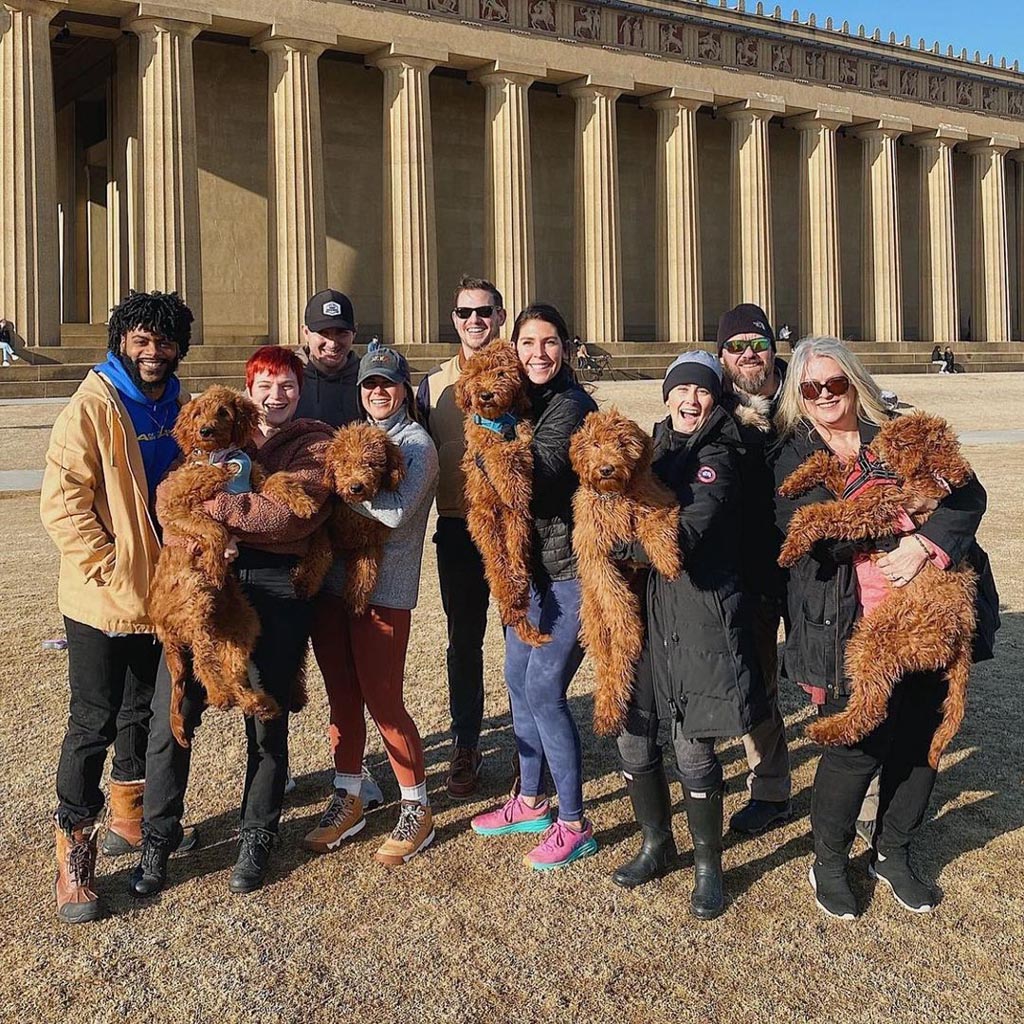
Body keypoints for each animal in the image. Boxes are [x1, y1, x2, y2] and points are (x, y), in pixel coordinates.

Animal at [150, 385, 315, 745]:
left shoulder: (254, 477)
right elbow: (215, 528)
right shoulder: (177, 505)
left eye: (224, 412)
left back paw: (257, 703)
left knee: (233, 671)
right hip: (195, 600)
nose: (205, 431)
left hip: (242, 626)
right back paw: (221, 695)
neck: (221, 455)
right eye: (198, 413)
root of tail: (164, 626)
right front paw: (214, 562)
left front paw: (303, 502)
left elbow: (277, 480)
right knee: (202, 661)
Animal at [292, 419, 403, 610]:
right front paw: (304, 582)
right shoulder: (324, 527)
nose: (356, 487)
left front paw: (356, 599)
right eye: (344, 461)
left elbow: (366, 569)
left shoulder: (370, 540)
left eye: (372, 463)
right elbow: (321, 553)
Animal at [458, 344, 552, 647]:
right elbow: (499, 454)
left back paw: (520, 584)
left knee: (515, 555)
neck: (499, 418)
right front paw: (513, 486)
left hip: (517, 525)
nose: (486, 394)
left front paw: (517, 485)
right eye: (477, 376)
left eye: (501, 373)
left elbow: (520, 448)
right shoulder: (483, 443)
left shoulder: (522, 429)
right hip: (485, 527)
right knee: (498, 570)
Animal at [569, 407, 679, 737]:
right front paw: (626, 622)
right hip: (595, 623)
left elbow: (656, 523)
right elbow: (613, 592)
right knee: (609, 666)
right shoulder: (594, 553)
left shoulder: (656, 501)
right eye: (594, 444)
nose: (606, 469)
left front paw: (669, 560)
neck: (614, 495)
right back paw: (607, 712)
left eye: (622, 443)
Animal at [778, 411, 978, 765]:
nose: (967, 475)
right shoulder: (852, 491)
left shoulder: (870, 510)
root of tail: (963, 634)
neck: (884, 468)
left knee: (871, 708)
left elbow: (815, 514)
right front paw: (792, 482)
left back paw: (824, 730)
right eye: (941, 446)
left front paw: (791, 548)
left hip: (876, 637)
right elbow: (824, 462)